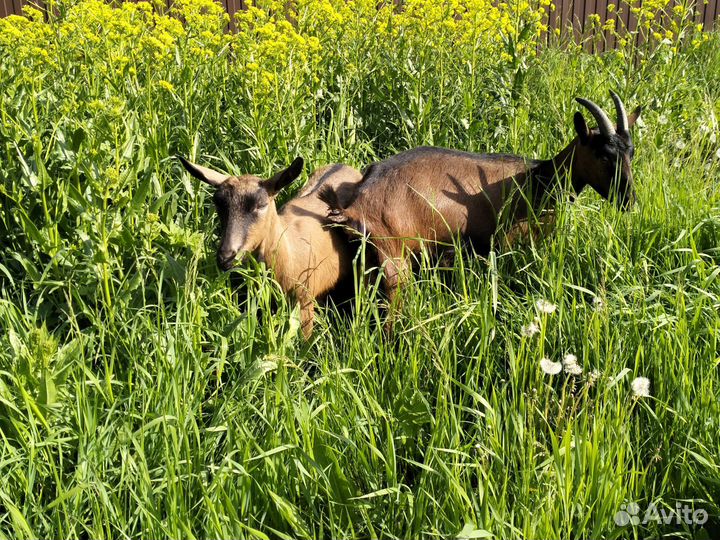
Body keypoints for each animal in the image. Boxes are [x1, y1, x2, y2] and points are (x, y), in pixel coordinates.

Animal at [320, 91, 641, 305]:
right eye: (603, 155)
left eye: (631, 152)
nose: (629, 200)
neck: (539, 177)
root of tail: (356, 203)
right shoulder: (509, 243)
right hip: (394, 258)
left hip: (367, 261)